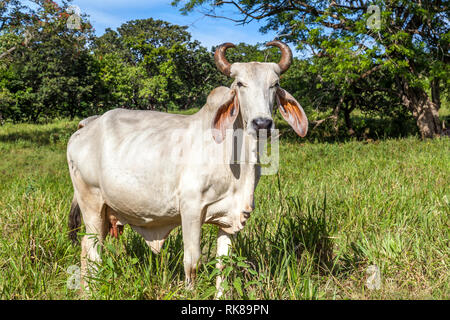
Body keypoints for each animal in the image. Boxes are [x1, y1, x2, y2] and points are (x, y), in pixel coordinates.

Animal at [67, 40, 308, 296]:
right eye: (240, 84)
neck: (237, 162)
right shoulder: (191, 210)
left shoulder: (229, 219)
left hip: (105, 211)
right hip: (91, 202)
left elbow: (223, 265)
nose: (262, 123)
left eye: (275, 84)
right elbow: (192, 262)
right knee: (93, 250)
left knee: (87, 248)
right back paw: (91, 291)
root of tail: (87, 125)